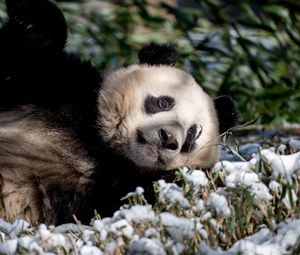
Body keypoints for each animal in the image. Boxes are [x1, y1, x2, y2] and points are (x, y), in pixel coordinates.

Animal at [0, 0, 238, 224]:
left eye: (191, 134)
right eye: (164, 103)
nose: (168, 138)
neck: (99, 143)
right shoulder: (61, 91)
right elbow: (28, 55)